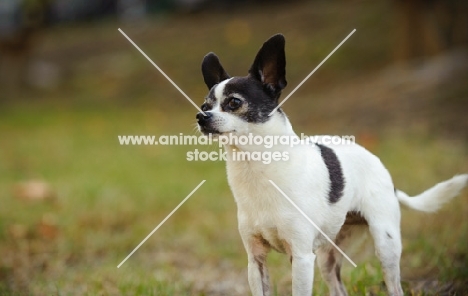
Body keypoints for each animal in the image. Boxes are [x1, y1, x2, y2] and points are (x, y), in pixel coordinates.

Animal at [196, 33, 466, 294]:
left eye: (234, 102)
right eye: (205, 106)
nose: (201, 116)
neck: (255, 166)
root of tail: (379, 165)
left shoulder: (302, 258)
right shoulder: (256, 260)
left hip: (385, 244)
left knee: (395, 286)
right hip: (329, 255)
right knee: (338, 287)